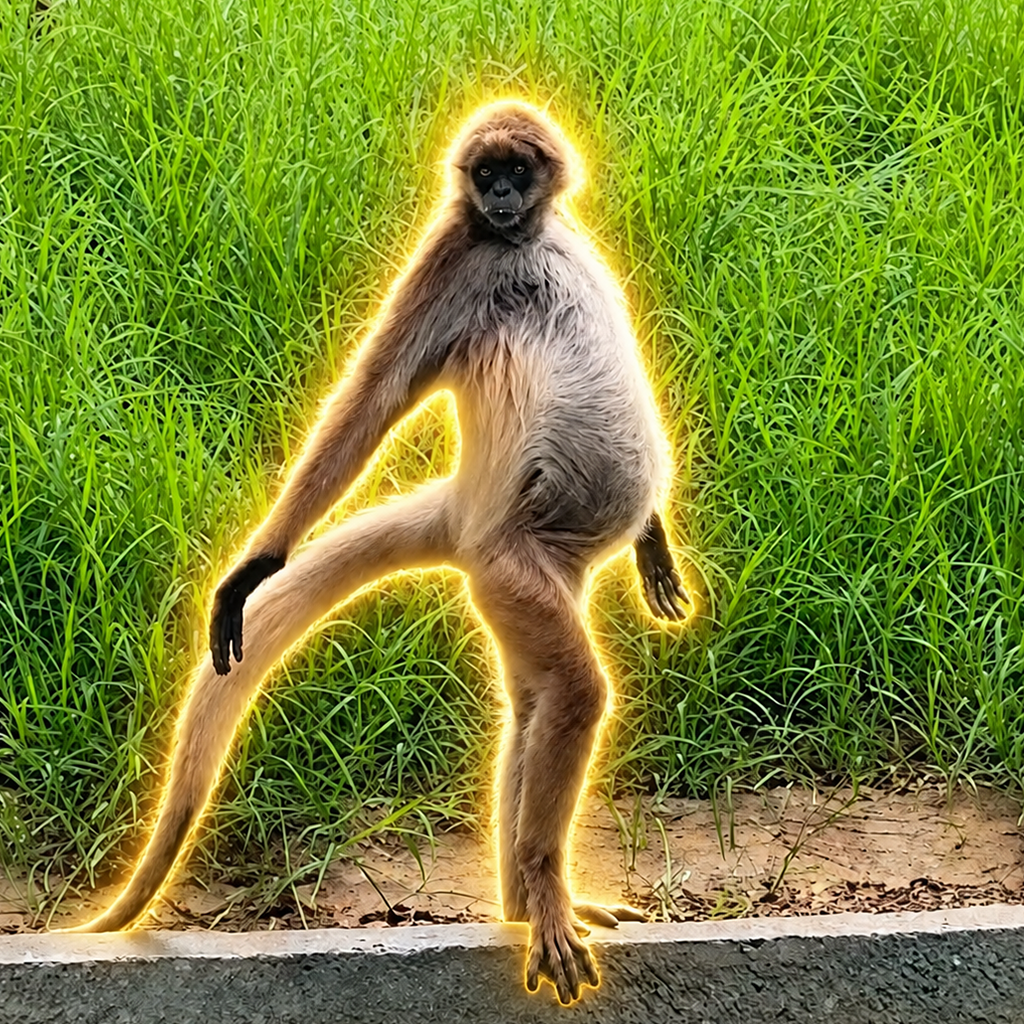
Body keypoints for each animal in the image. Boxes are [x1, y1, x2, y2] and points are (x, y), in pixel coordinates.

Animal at [70, 101, 690, 1005]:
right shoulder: (458, 253)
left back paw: (526, 904)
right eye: (485, 174)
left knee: (534, 703)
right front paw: (254, 567)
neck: (522, 242)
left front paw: (654, 544)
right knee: (572, 694)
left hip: (534, 575)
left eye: (516, 171)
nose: (500, 197)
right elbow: (373, 398)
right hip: (513, 564)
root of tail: (466, 512)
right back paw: (539, 895)